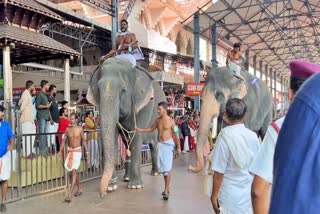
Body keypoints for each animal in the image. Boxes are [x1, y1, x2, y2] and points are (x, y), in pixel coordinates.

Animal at [87, 57, 168, 196]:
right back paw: (126, 177)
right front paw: (112, 187)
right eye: (97, 89)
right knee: (127, 144)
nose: (102, 194)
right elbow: (114, 137)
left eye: (123, 90)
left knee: (154, 145)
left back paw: (155, 173)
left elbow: (136, 137)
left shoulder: (144, 105)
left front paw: (135, 186)